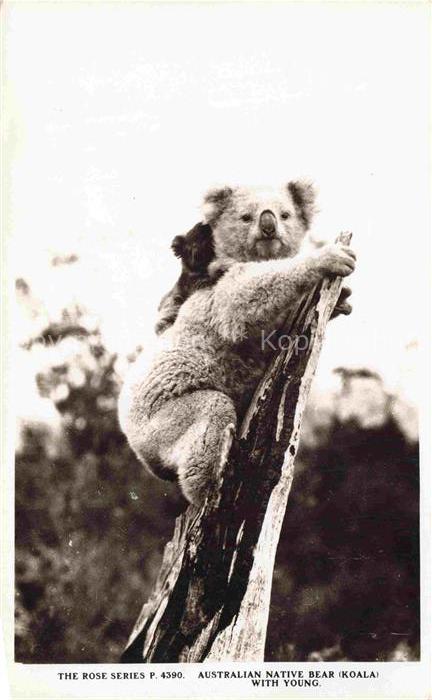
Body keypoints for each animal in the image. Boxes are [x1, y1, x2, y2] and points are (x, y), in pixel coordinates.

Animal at [118, 182, 355, 504]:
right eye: (246, 217)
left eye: (285, 214)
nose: (268, 226)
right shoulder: (219, 293)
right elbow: (243, 299)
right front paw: (328, 257)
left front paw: (342, 301)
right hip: (161, 422)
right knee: (210, 415)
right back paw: (211, 483)